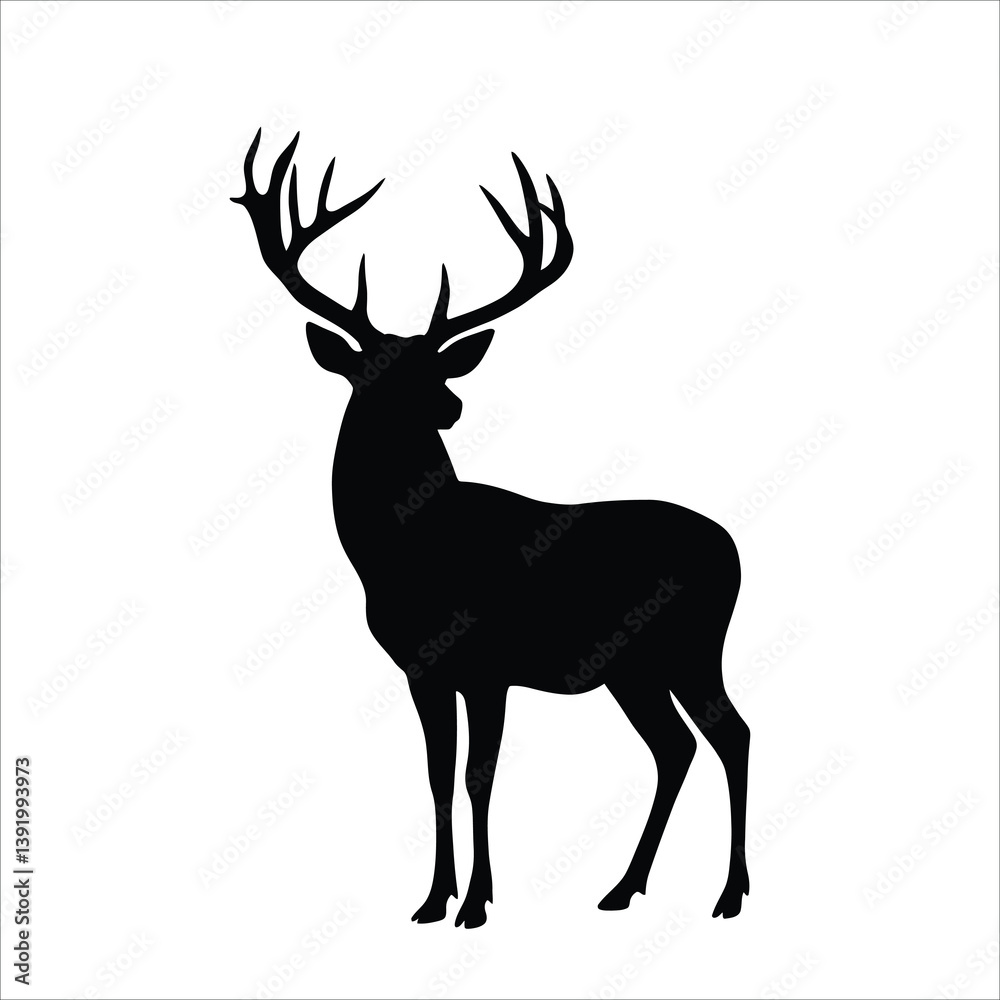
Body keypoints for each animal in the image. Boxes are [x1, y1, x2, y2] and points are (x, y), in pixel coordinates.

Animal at [232, 129, 749, 929]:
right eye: (374, 370)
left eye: (438, 370)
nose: (449, 407)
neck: (405, 557)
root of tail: (734, 549)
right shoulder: (421, 670)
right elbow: (438, 775)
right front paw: (432, 898)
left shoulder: (487, 662)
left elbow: (481, 776)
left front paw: (477, 901)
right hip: (634, 669)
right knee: (675, 749)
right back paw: (622, 888)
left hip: (693, 644)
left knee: (731, 735)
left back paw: (728, 895)